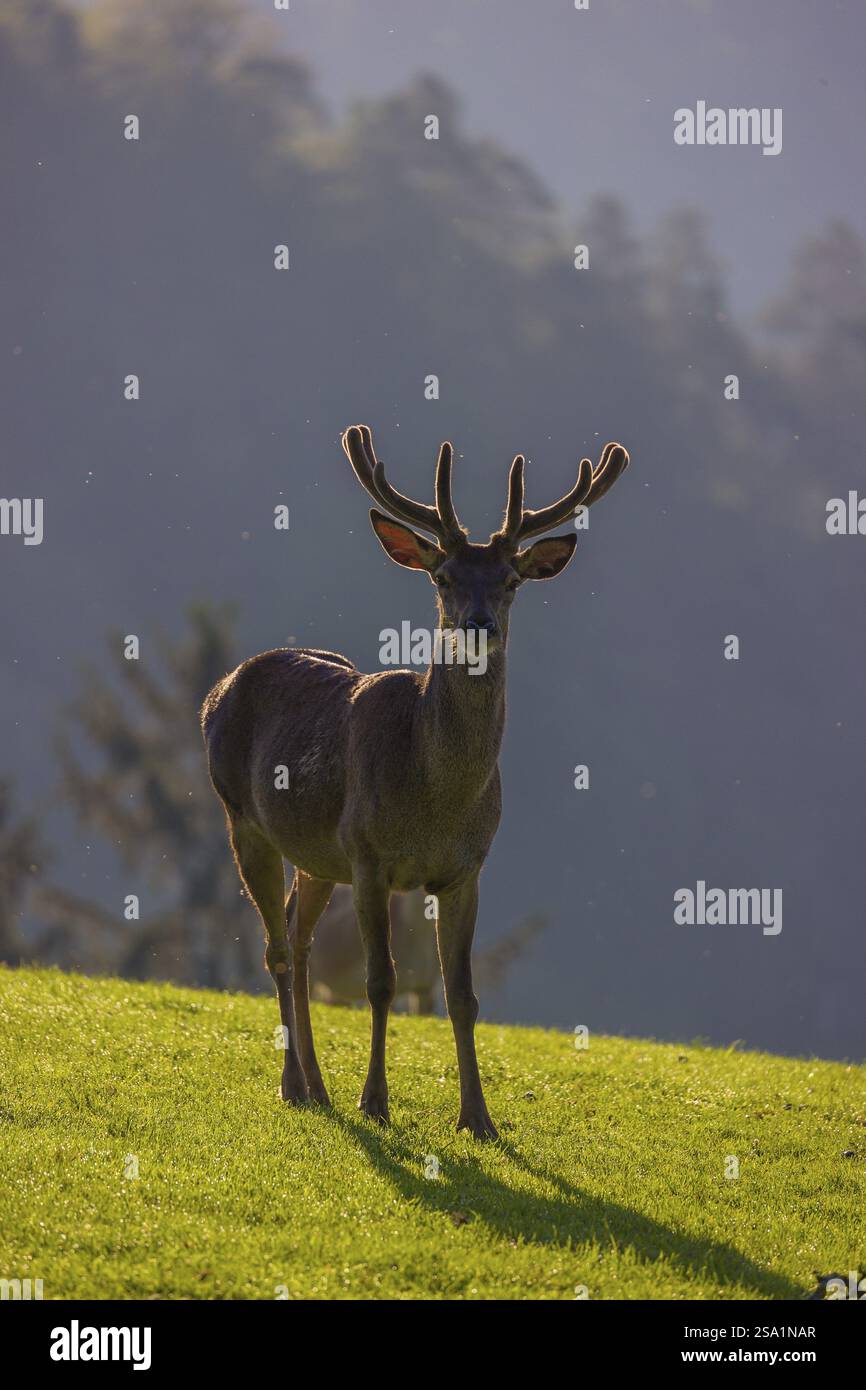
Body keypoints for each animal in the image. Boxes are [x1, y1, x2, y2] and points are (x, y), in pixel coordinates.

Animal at [201, 425, 629, 1139]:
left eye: (511, 579)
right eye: (444, 575)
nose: (478, 625)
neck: (437, 797)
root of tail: (220, 688)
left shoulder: (467, 869)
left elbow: (462, 994)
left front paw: (478, 1118)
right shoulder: (370, 855)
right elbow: (381, 982)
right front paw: (375, 1101)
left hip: (318, 855)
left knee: (298, 936)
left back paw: (317, 1086)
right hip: (244, 819)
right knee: (276, 950)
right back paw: (295, 1085)